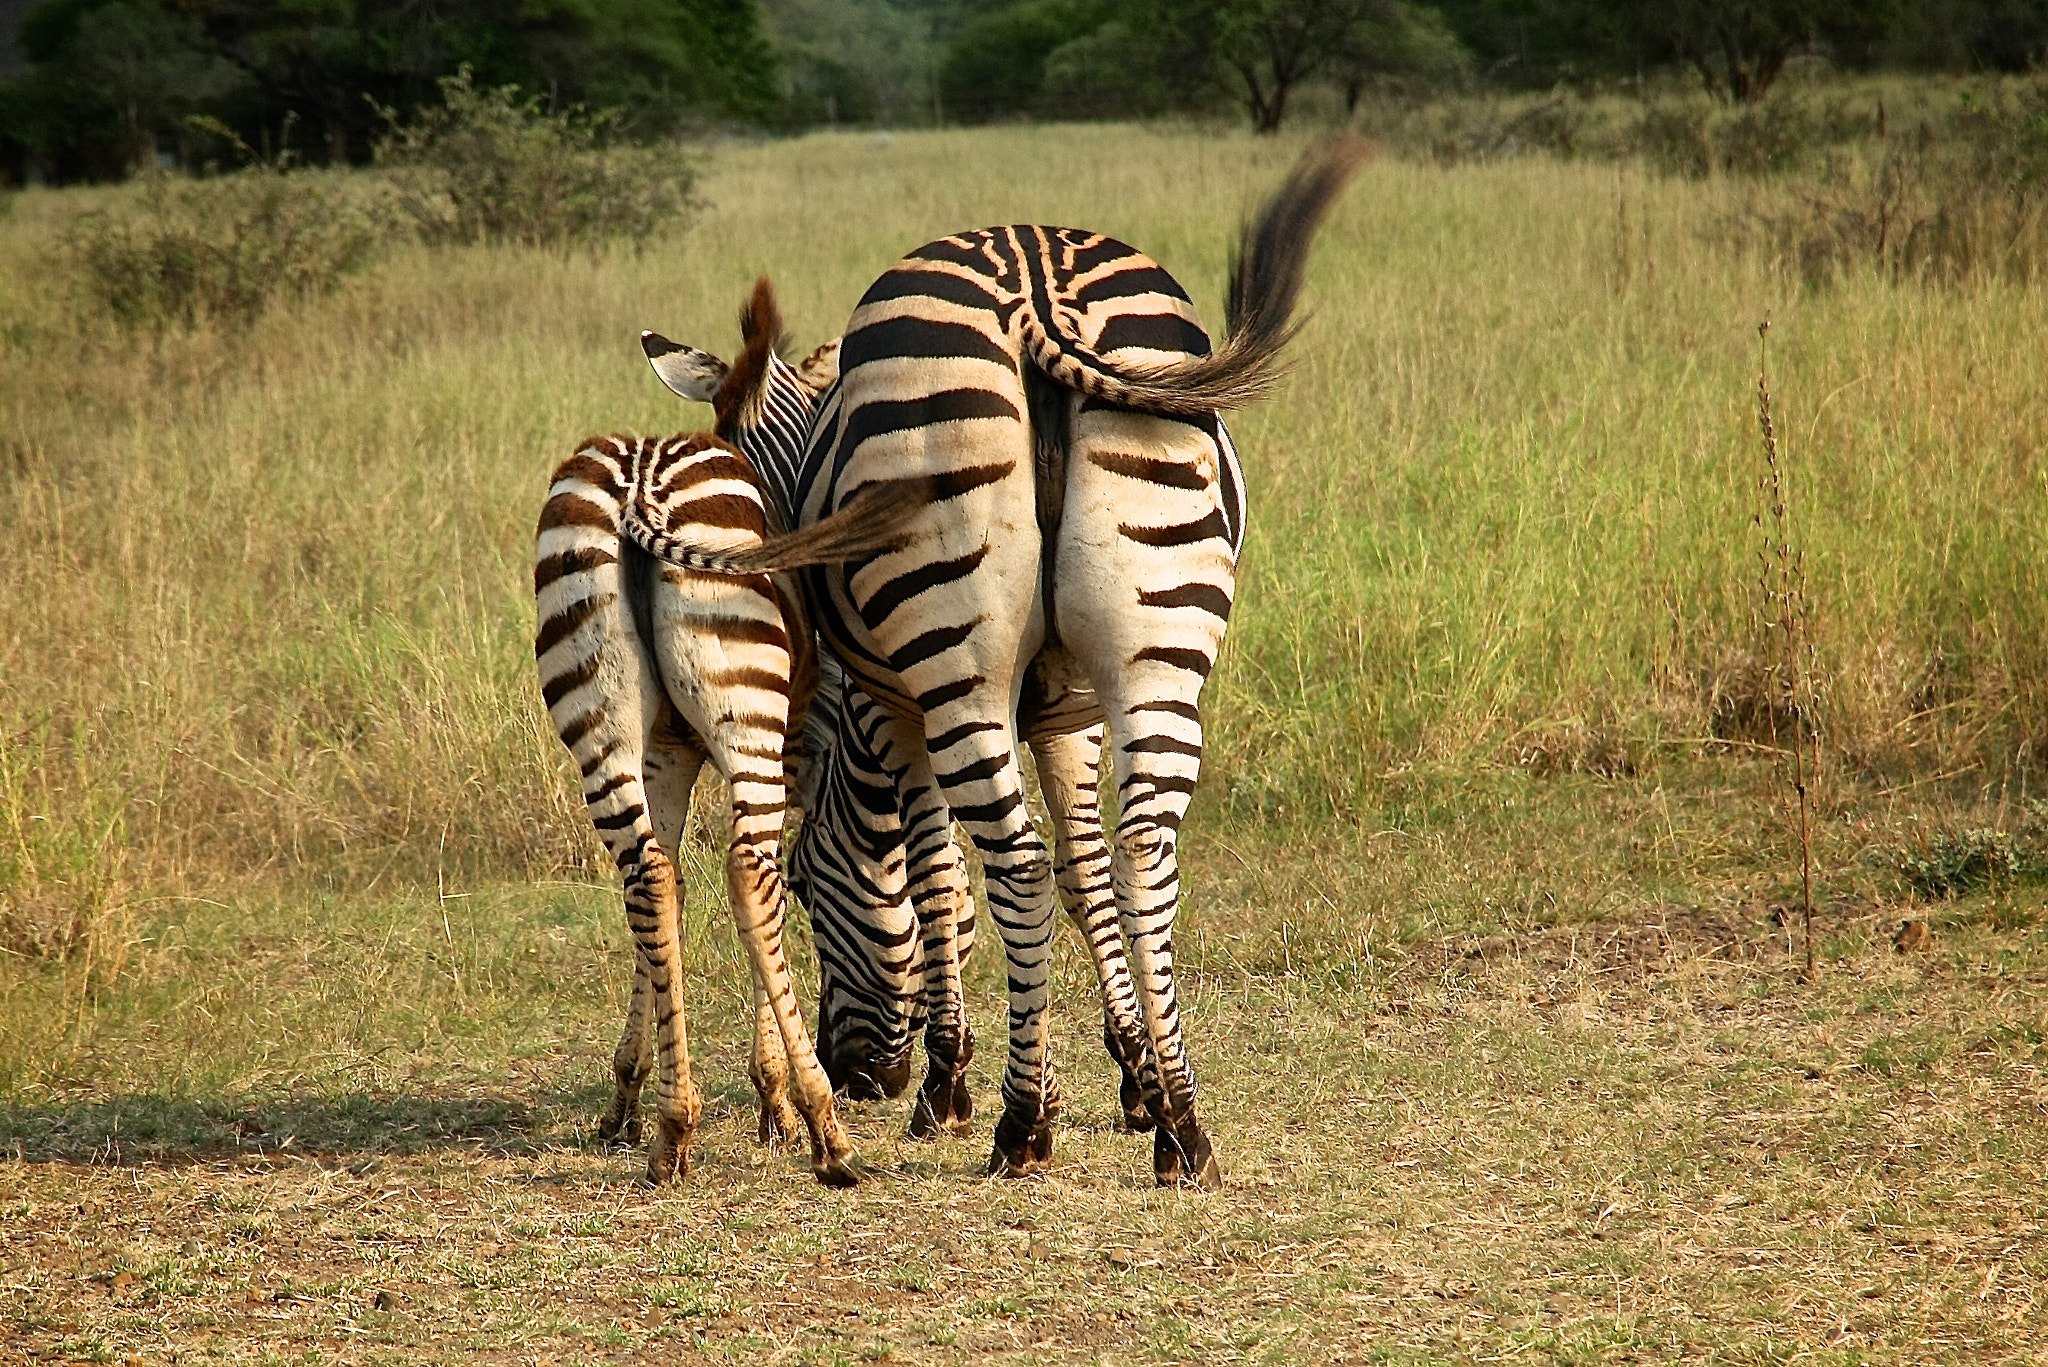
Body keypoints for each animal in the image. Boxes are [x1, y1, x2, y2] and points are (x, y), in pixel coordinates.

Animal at [533, 425, 924, 1187]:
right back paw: (828, 1136)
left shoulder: (666, 753)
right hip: (748, 710)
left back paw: (673, 1131)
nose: (882, 1084)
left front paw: (629, 1095)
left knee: (647, 874)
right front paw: (775, 1099)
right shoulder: (796, 752)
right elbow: (772, 890)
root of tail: (639, 484)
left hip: (598, 707)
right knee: (746, 871)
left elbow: (668, 891)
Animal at [628, 138, 1368, 1187]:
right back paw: (1184, 1128)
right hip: (1158, 650)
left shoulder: (891, 707)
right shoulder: (1072, 711)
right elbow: (1085, 868)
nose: (858, 1079)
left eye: (811, 887)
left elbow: (942, 872)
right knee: (1145, 847)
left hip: (956, 659)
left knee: (1009, 862)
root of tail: (1033, 292)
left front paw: (962, 1080)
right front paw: (1135, 1074)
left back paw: (1018, 1127)